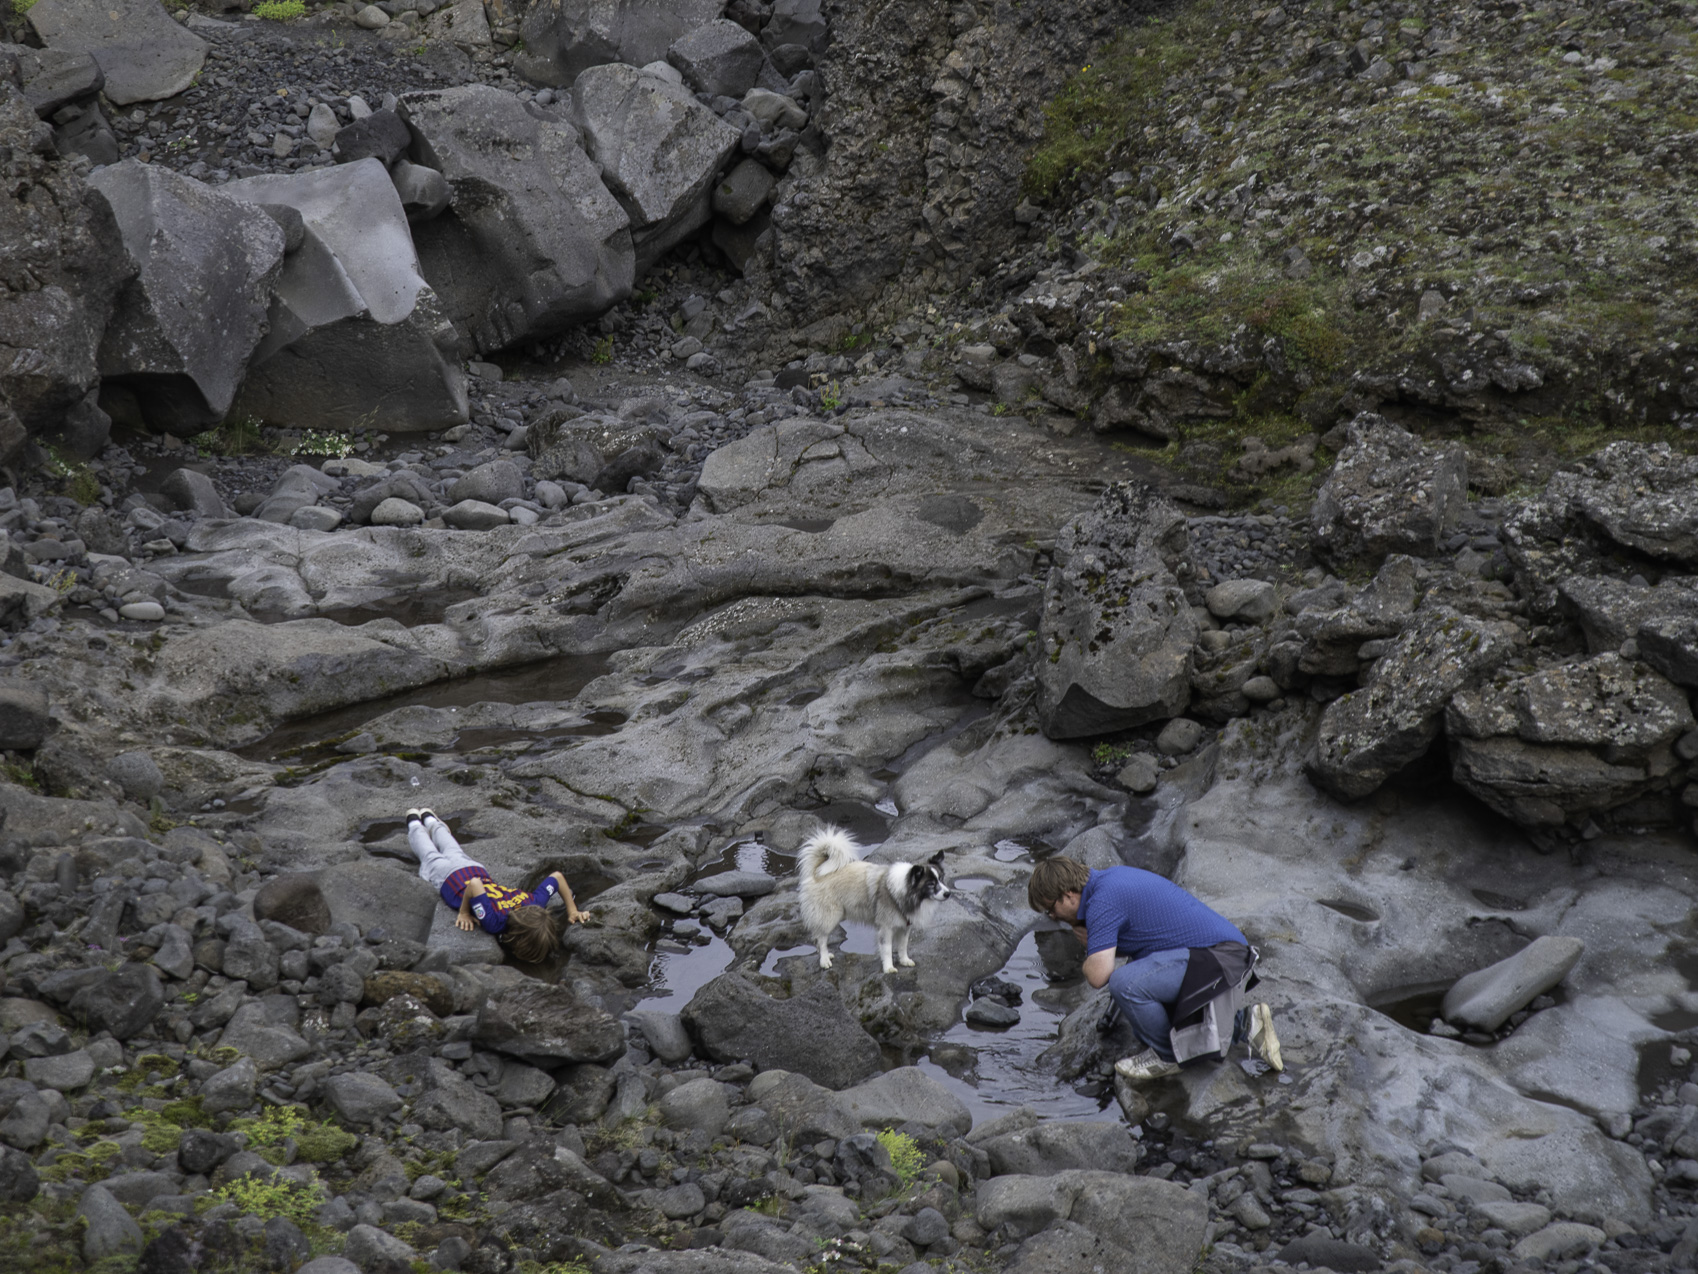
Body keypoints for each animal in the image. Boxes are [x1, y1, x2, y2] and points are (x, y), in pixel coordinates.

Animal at [798, 828, 957, 978]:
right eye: (931, 884)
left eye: (941, 879)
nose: (948, 893)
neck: (903, 890)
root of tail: (817, 872)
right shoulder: (886, 928)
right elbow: (887, 950)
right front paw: (889, 968)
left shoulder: (904, 927)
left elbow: (903, 946)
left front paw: (904, 960)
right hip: (830, 916)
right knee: (821, 938)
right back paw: (824, 960)